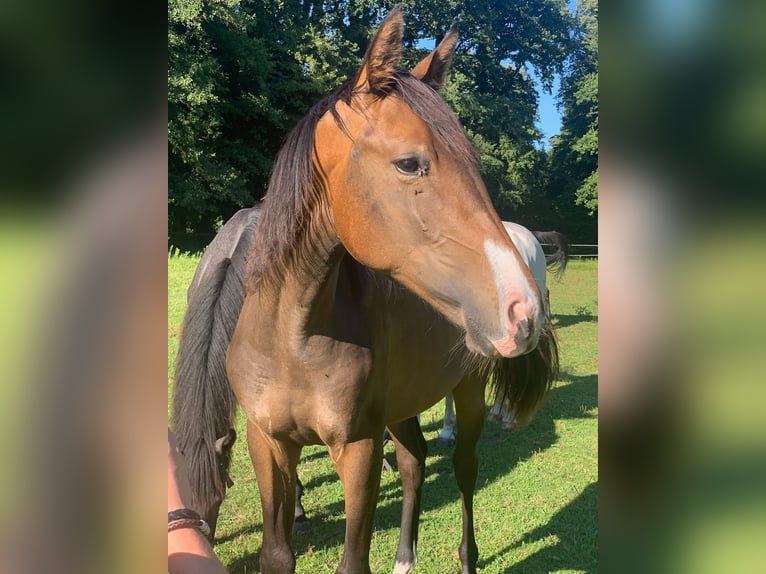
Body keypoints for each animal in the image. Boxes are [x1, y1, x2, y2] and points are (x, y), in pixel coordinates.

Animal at [174, 5, 560, 574]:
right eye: (409, 163)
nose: (523, 310)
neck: (293, 338)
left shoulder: (357, 449)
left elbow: (354, 558)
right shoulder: (269, 445)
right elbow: (277, 552)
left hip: (465, 394)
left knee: (463, 469)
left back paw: (466, 555)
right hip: (401, 406)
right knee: (414, 461)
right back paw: (405, 557)